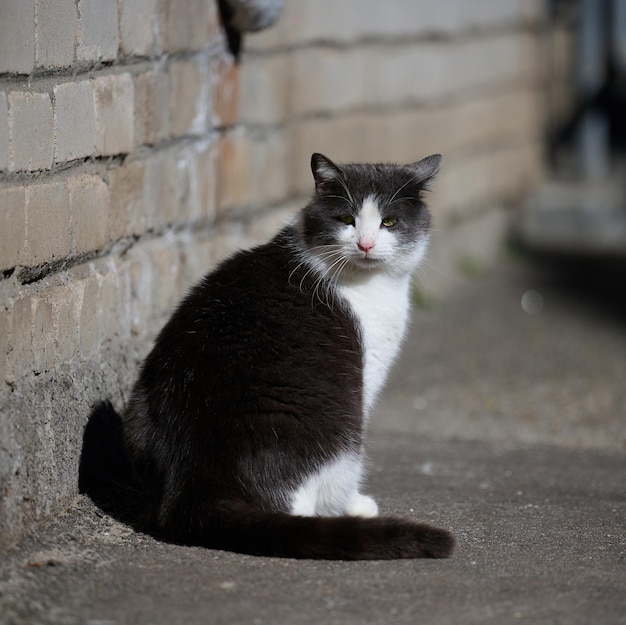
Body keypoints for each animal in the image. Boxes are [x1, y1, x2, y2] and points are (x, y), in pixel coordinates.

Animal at [83, 152, 454, 560]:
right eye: (346, 219)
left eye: (389, 222)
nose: (367, 244)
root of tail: (195, 485)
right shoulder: (367, 371)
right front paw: (356, 504)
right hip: (341, 427)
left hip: (139, 408)